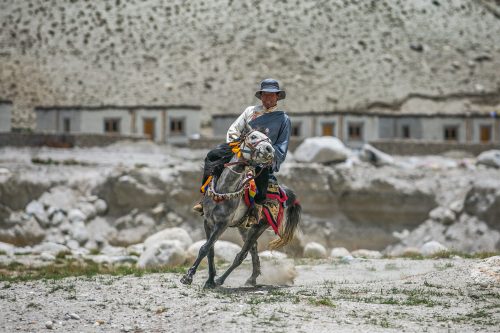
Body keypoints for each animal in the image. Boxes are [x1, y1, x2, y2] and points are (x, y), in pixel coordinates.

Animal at [183, 127, 302, 288]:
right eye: (253, 136)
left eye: (270, 141)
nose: (269, 150)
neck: (224, 190)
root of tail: (282, 192)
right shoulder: (208, 222)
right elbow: (210, 250)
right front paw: (209, 279)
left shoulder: (222, 224)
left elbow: (204, 248)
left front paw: (189, 277)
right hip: (244, 227)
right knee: (252, 251)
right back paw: (251, 278)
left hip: (259, 227)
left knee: (242, 255)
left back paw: (222, 280)